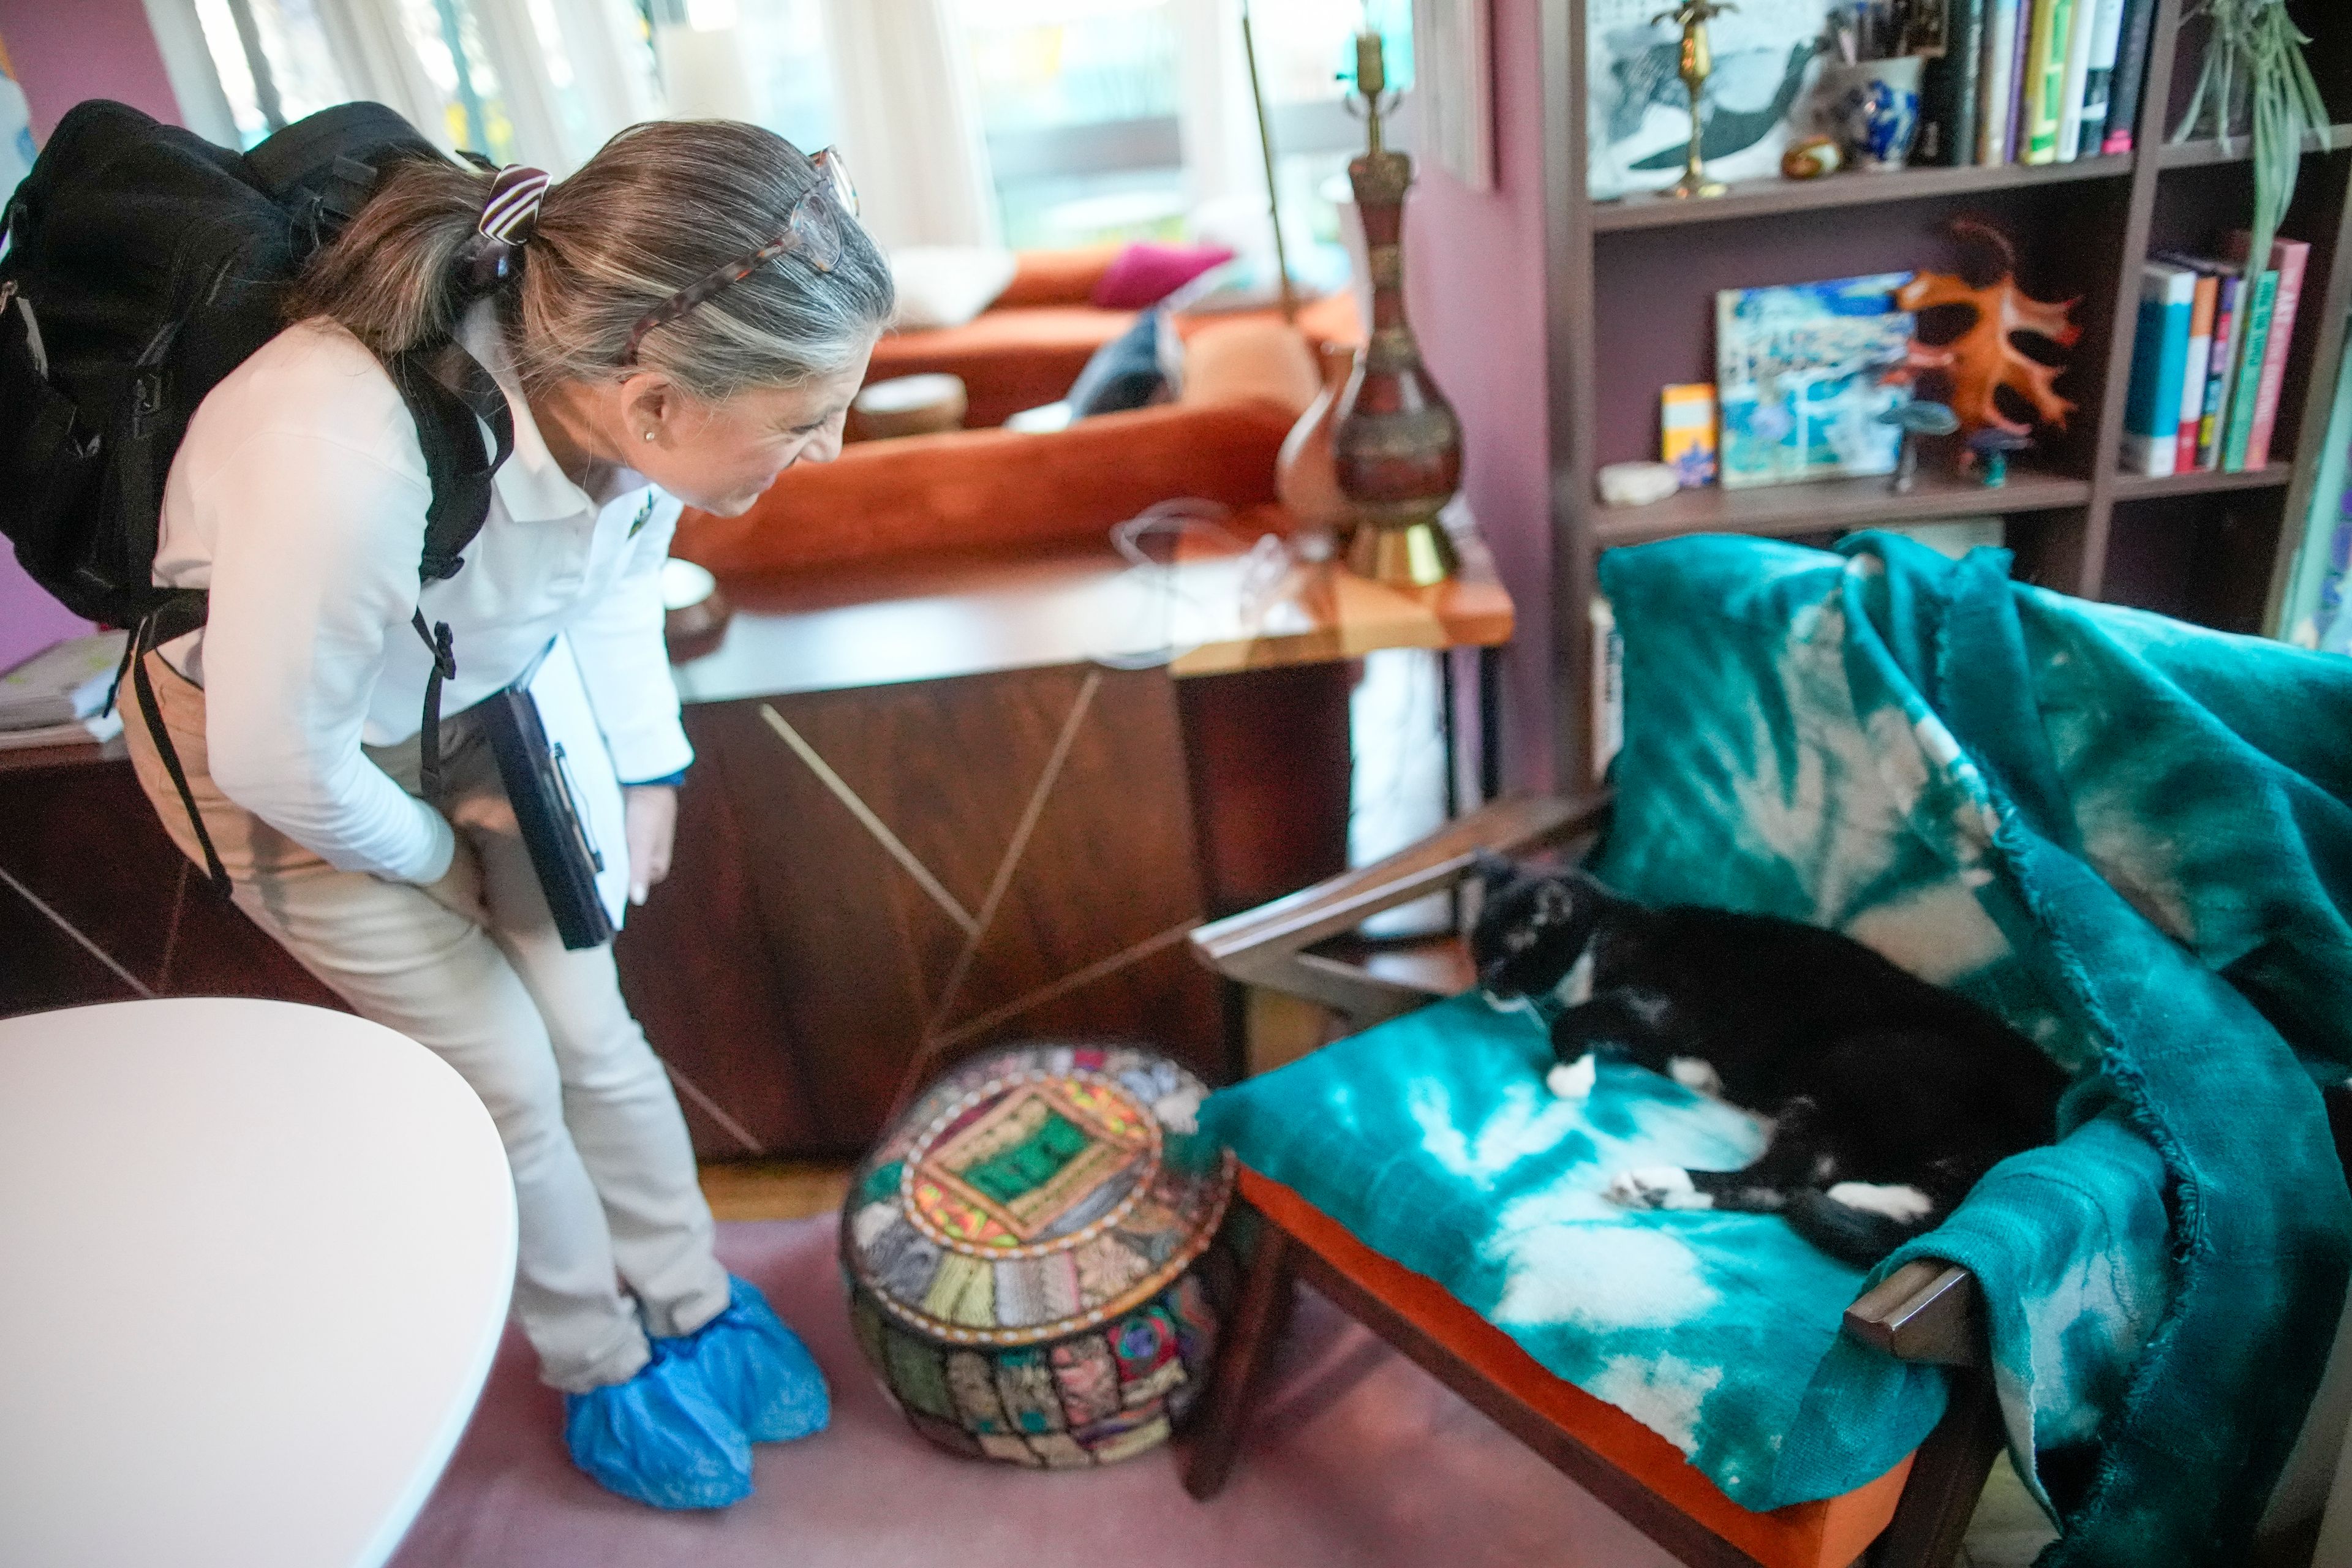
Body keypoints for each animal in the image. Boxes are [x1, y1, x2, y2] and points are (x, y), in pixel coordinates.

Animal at [1477, 851, 2070, 1269]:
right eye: (1475, 952)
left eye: (1502, 958)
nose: (1482, 985)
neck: (1605, 931)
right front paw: (1690, 1071)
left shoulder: (1665, 1004)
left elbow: (1578, 1019)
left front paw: (1569, 1074)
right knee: (1795, 1186)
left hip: (1855, 1061)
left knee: (1786, 1182)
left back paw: (1657, 1180)